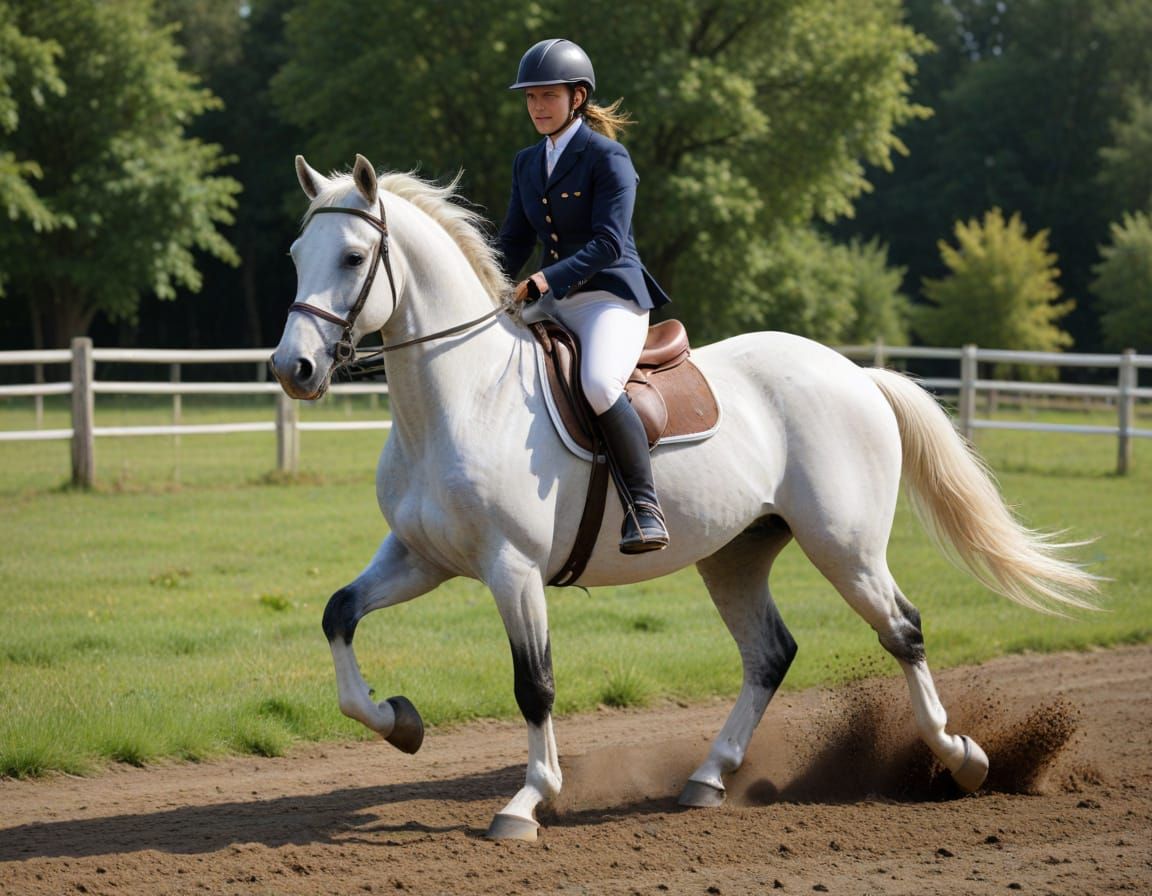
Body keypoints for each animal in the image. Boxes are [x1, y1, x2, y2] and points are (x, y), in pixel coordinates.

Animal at [271, 154, 1098, 841]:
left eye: (352, 257)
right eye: (296, 257)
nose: (292, 368)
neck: (463, 397)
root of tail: (856, 373)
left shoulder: (512, 569)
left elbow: (533, 685)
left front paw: (527, 803)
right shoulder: (422, 558)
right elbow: (338, 616)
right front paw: (400, 722)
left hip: (845, 546)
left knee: (903, 630)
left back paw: (960, 759)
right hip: (736, 554)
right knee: (771, 653)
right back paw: (707, 778)